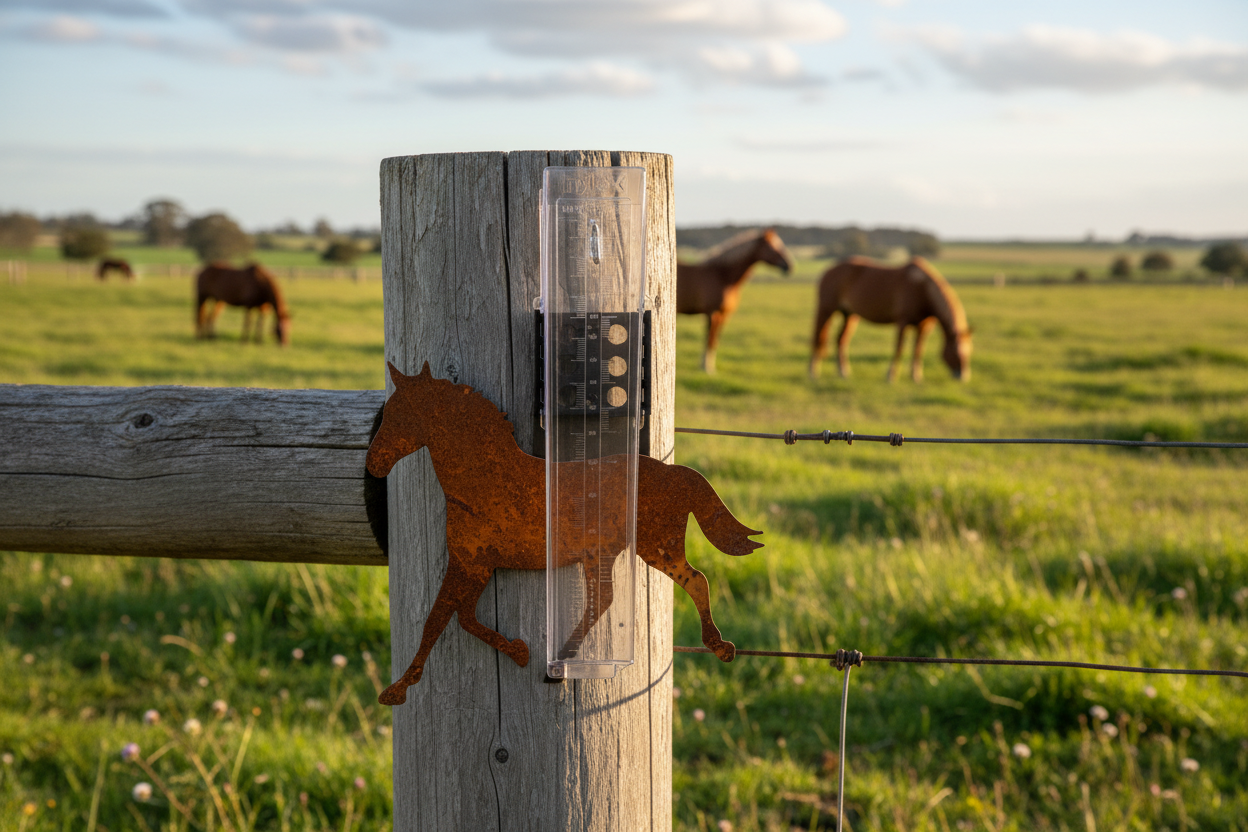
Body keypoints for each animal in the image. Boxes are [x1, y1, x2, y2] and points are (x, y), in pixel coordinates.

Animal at [366, 361, 763, 706]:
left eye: (400, 415)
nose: (373, 464)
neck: (486, 480)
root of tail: (675, 472)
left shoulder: (470, 563)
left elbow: (437, 621)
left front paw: (397, 690)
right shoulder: (474, 564)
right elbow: (457, 618)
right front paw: (518, 651)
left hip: (651, 548)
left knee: (683, 583)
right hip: (617, 552)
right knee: (630, 594)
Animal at [677, 228, 794, 373]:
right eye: (773, 247)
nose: (789, 266)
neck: (722, 276)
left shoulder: (724, 315)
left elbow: (715, 341)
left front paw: (707, 366)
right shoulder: (712, 313)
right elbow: (709, 339)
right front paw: (706, 368)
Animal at [810, 256, 972, 382]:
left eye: (968, 352)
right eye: (956, 352)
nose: (963, 377)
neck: (922, 288)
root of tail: (829, 270)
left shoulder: (923, 326)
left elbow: (918, 350)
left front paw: (916, 376)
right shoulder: (902, 322)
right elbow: (899, 348)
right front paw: (891, 376)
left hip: (849, 315)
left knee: (841, 340)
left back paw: (843, 372)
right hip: (825, 310)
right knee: (818, 339)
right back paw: (813, 372)